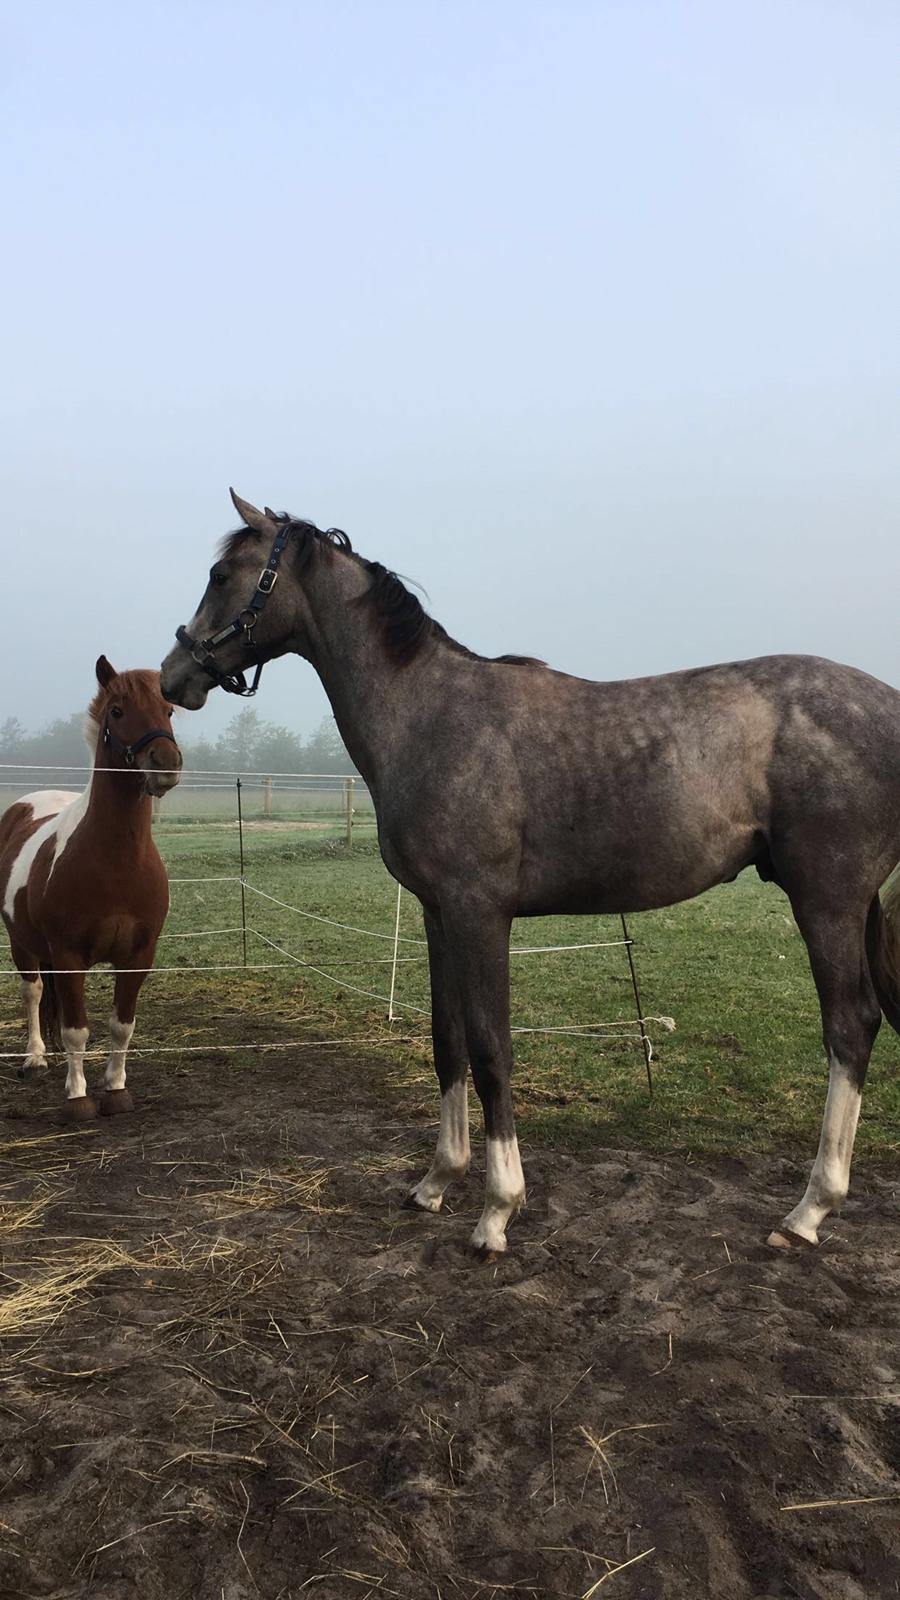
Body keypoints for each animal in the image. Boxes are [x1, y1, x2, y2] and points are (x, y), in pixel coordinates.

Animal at [0, 658, 182, 1120]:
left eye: (168, 710)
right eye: (117, 711)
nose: (166, 762)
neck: (115, 863)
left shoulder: (138, 957)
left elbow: (121, 1026)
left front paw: (116, 1089)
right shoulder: (68, 957)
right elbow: (76, 1030)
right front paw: (78, 1097)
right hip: (21, 943)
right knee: (33, 993)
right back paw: (35, 1058)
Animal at [161, 490, 900, 1254]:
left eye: (221, 575)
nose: (172, 676)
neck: (429, 716)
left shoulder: (479, 913)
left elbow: (491, 1050)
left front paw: (497, 1210)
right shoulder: (437, 914)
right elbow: (447, 1041)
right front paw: (436, 1182)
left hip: (827, 901)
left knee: (850, 1028)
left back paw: (808, 1210)